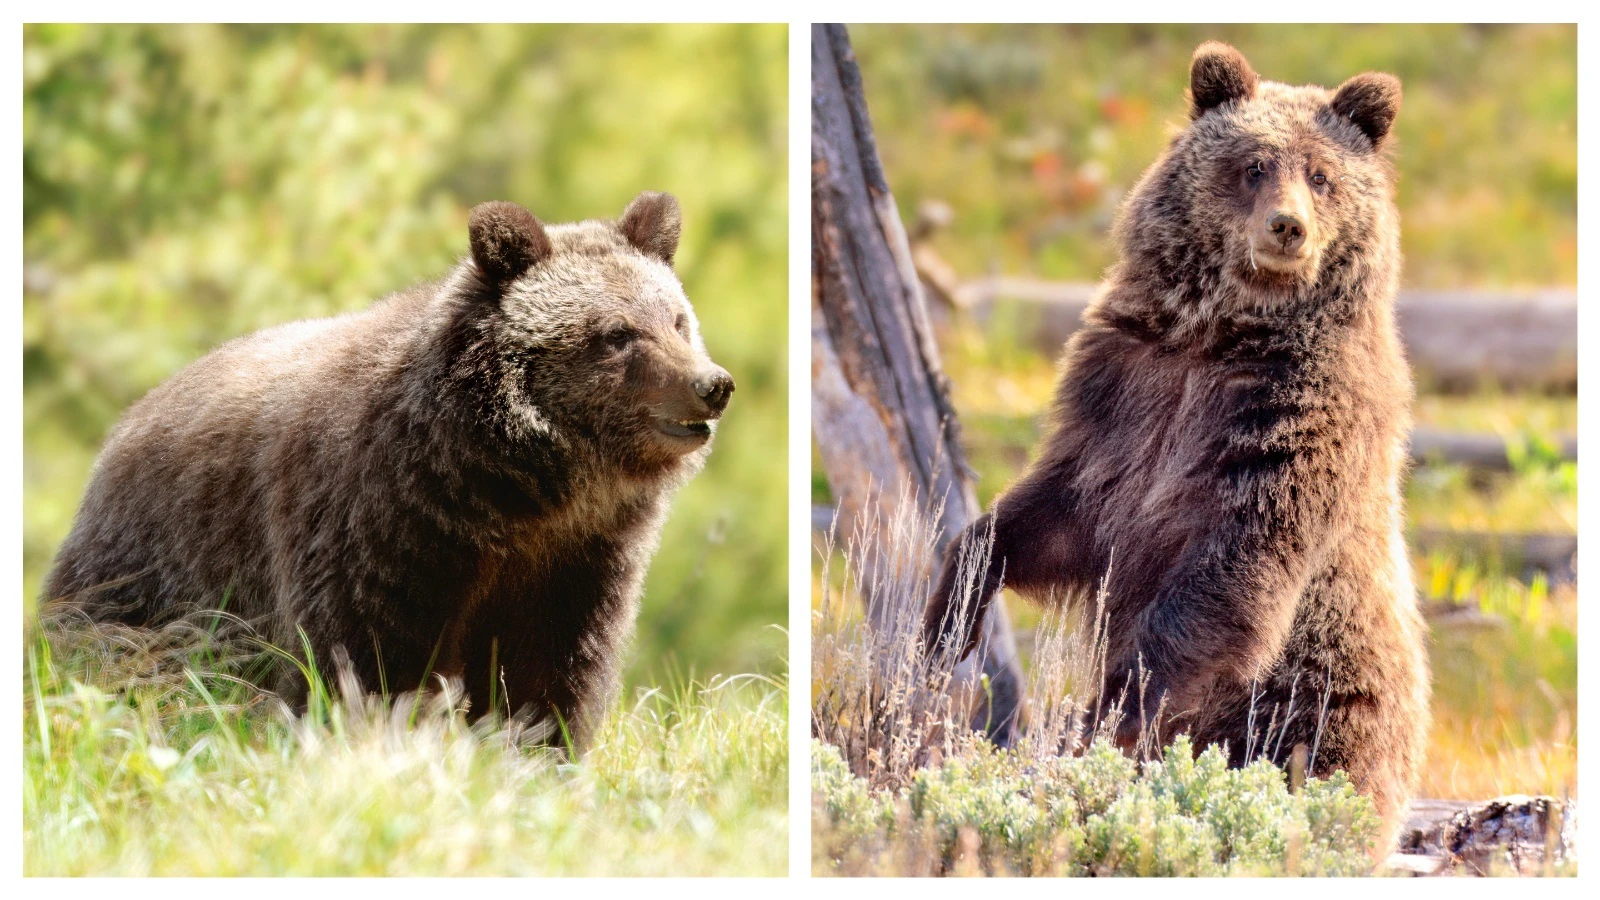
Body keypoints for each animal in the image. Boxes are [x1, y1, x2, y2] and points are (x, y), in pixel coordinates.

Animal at [43, 191, 733, 749]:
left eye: (676, 319)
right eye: (617, 333)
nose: (711, 384)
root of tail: (127, 419)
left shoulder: (577, 556)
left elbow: (547, 670)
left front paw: (536, 750)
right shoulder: (381, 522)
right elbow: (367, 656)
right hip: (157, 571)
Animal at [921, 42, 1429, 850]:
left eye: (1321, 174)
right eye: (1253, 165)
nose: (1287, 227)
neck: (1218, 334)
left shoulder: (1289, 426)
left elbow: (1222, 577)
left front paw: (1103, 719)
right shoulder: (1126, 400)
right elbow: (1050, 513)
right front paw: (948, 618)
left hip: (1317, 703)